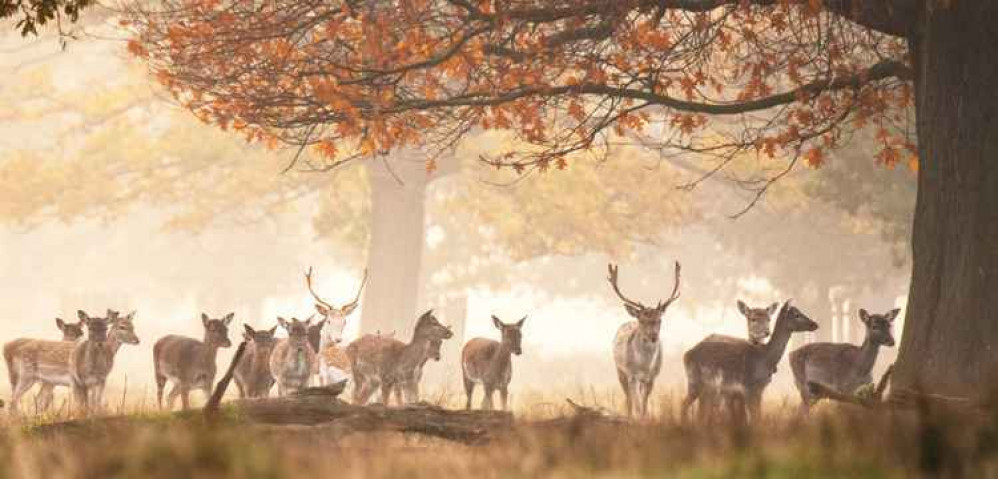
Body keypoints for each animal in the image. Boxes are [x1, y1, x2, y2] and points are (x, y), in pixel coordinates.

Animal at [604, 260, 684, 418]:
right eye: (642, 320)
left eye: (659, 320)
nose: (653, 336)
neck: (645, 366)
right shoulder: (632, 375)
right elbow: (637, 404)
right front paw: (637, 417)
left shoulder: (652, 377)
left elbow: (644, 405)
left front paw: (644, 418)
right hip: (620, 370)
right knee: (628, 399)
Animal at [680, 304, 820, 424]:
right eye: (796, 314)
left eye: (769, 319)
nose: (815, 324)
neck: (766, 358)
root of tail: (686, 355)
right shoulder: (749, 389)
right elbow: (755, 418)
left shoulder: (758, 390)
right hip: (695, 382)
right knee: (685, 405)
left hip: (708, 388)